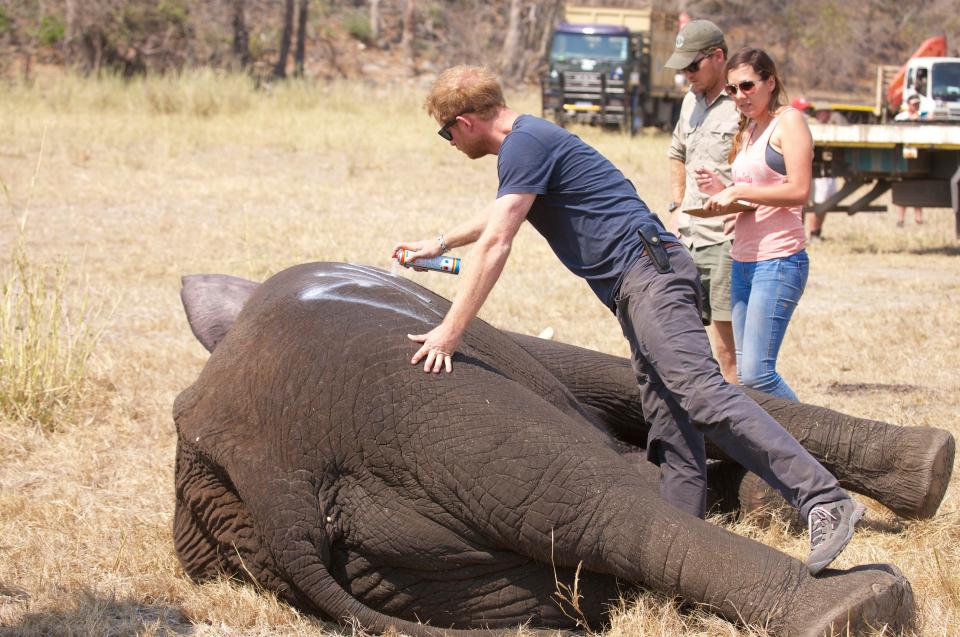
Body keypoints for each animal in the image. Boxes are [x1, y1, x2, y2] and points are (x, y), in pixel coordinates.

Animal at [172, 260, 944, 632]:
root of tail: (273, 482)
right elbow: (617, 378)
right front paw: (933, 463)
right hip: (414, 397)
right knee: (596, 500)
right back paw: (860, 608)